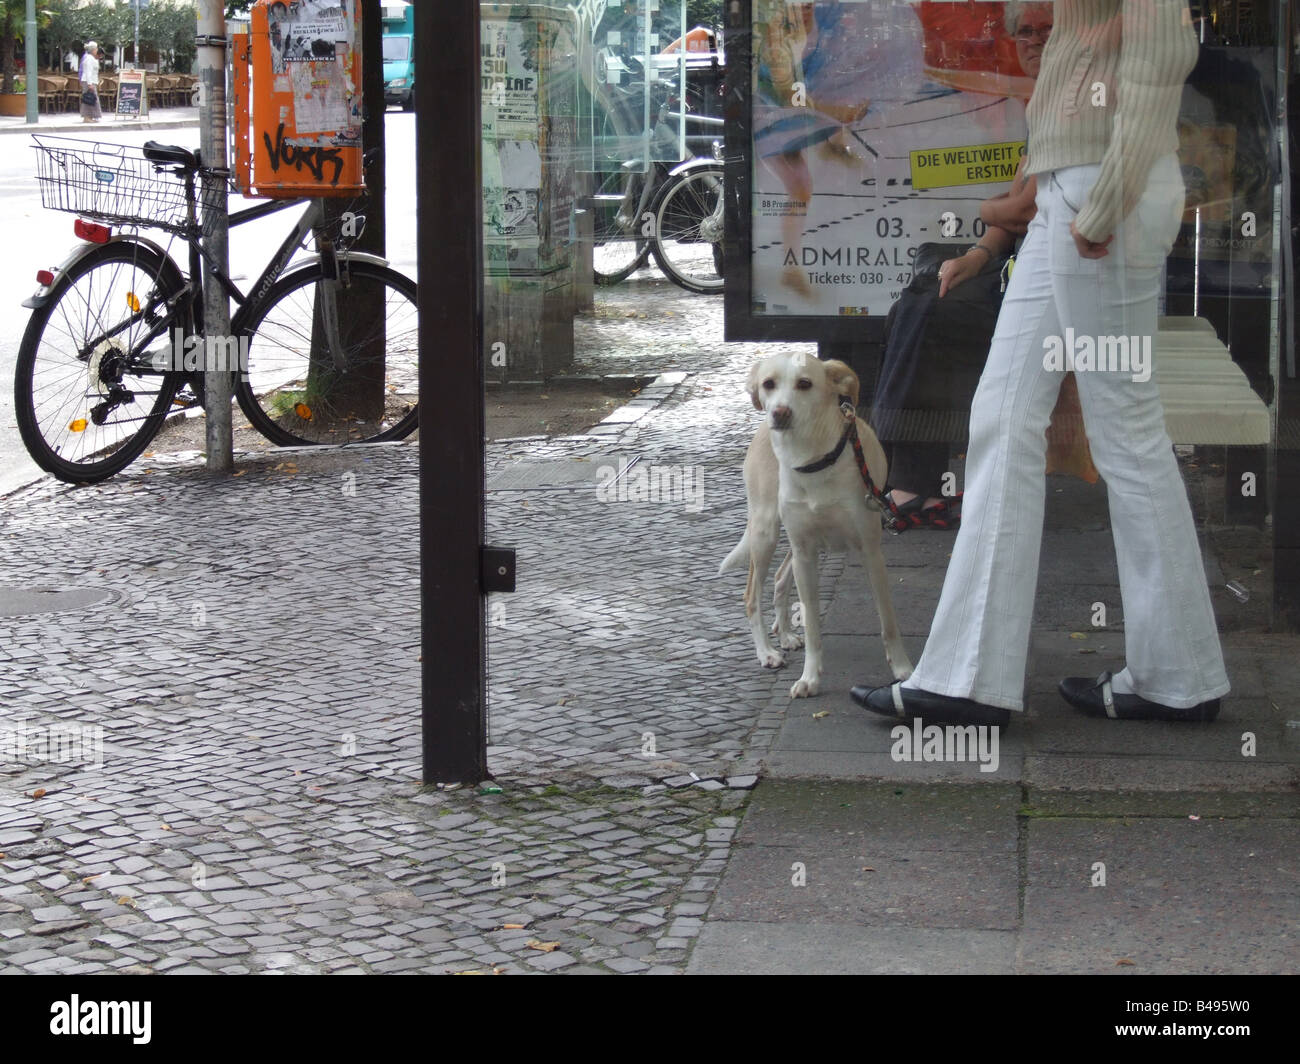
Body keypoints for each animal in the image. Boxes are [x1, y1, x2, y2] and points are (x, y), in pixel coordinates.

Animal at [722, 351, 915, 691]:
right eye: (768, 384)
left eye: (805, 383)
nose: (779, 413)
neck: (813, 460)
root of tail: (761, 430)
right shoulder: (805, 555)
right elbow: (812, 625)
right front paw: (810, 678)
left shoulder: (870, 553)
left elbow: (888, 620)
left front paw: (902, 670)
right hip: (766, 533)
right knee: (752, 595)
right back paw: (767, 652)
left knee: (779, 578)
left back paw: (785, 635)